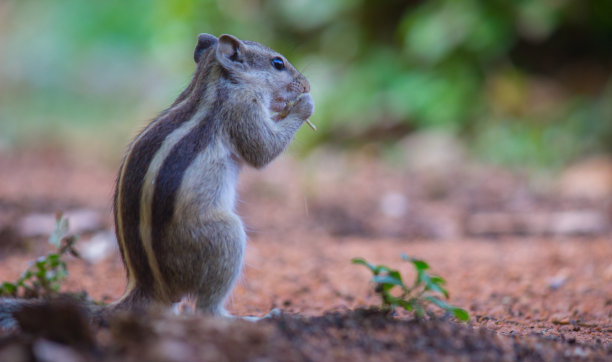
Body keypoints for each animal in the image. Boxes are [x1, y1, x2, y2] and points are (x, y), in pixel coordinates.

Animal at [0, 33, 314, 326]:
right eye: (277, 63)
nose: (307, 85)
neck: (212, 83)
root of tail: (148, 287)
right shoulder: (242, 109)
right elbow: (262, 150)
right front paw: (304, 105)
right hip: (225, 236)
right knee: (207, 311)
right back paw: (258, 319)